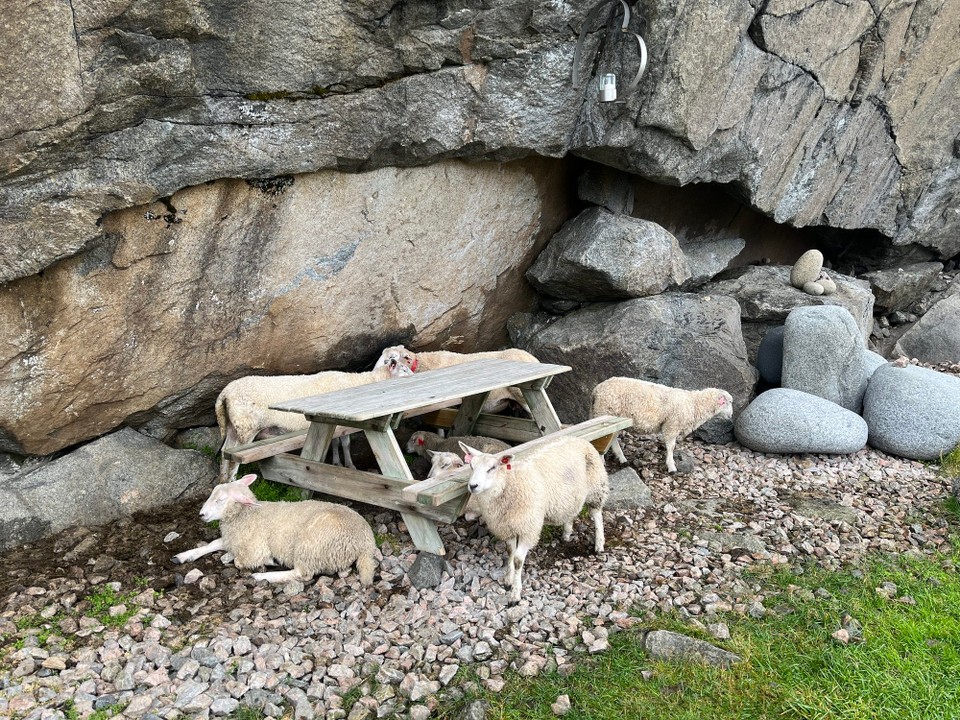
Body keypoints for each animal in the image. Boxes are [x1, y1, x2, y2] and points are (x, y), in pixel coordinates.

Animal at [171, 472, 380, 584]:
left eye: (220, 500)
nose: (201, 514)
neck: (245, 515)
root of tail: (365, 544)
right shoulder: (233, 538)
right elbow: (212, 544)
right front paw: (183, 556)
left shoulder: (254, 548)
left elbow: (239, 561)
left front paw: (265, 561)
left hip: (310, 545)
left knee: (302, 573)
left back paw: (262, 575)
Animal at [214, 350, 412, 480]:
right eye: (403, 369)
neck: (365, 381)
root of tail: (225, 394)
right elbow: (345, 443)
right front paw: (349, 465)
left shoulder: (333, 420)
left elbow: (336, 442)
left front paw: (338, 462)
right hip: (247, 428)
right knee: (233, 462)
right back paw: (231, 482)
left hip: (233, 427)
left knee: (224, 455)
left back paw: (223, 481)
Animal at [458, 436, 608, 604]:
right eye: (471, 466)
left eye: (492, 468)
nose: (473, 486)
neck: (509, 484)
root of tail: (577, 438)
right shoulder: (507, 526)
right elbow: (510, 551)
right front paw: (508, 580)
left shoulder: (528, 529)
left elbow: (518, 560)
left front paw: (515, 594)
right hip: (570, 496)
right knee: (571, 513)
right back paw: (567, 533)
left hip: (596, 486)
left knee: (597, 514)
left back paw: (599, 543)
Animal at [584, 376, 736, 472]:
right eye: (729, 402)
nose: (731, 416)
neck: (694, 404)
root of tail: (597, 389)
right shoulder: (671, 424)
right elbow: (671, 446)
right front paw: (671, 466)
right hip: (604, 411)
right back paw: (603, 461)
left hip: (605, 415)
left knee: (612, 440)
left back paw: (621, 458)